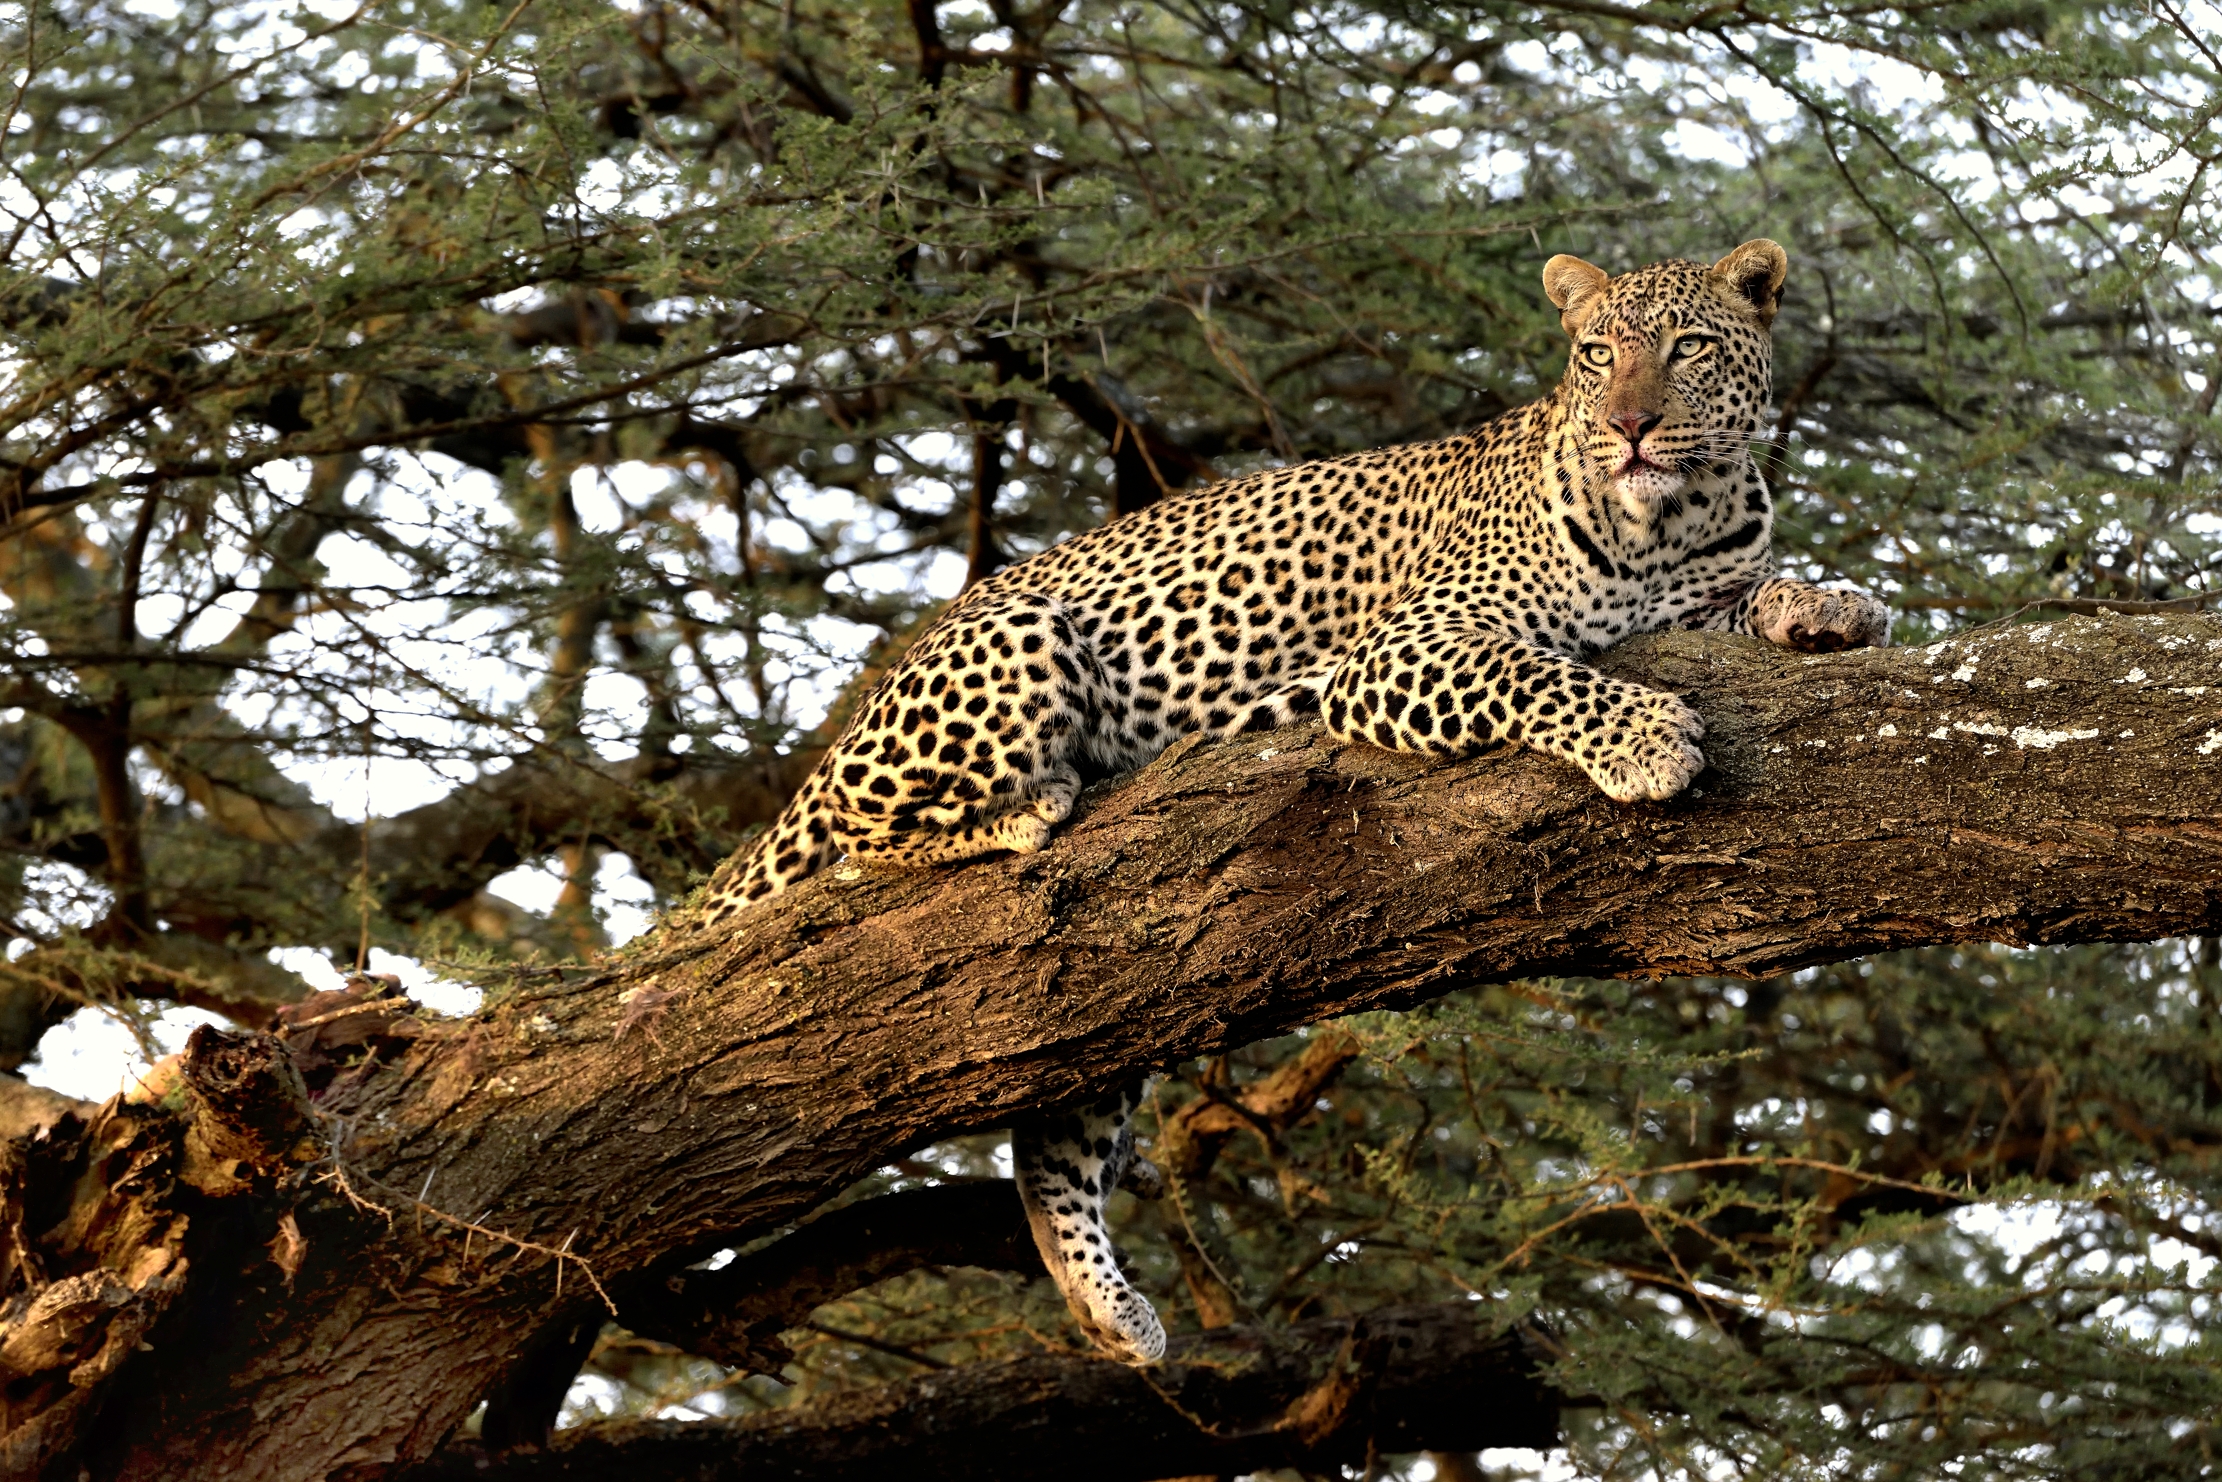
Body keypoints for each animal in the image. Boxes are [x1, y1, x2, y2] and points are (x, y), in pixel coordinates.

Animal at [700, 239, 1891, 1364]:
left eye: (1688, 348)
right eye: (1597, 354)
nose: (1629, 426)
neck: (1676, 520)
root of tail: (875, 687)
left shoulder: (1696, 601)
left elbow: (1754, 598)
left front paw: (1831, 606)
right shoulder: (1406, 648)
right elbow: (1538, 675)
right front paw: (1647, 737)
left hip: (1089, 1031)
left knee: (1051, 1139)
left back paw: (1110, 1310)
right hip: (1017, 646)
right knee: (866, 832)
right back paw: (1026, 808)